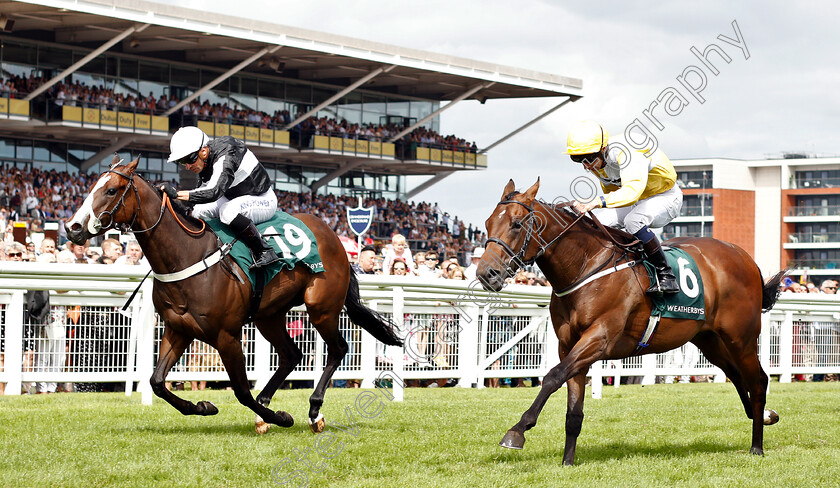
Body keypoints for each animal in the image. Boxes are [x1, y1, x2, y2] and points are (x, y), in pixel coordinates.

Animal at [65, 158, 400, 432]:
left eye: (111, 190)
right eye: (92, 188)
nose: (73, 227)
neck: (186, 255)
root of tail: (332, 233)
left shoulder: (227, 335)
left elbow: (240, 391)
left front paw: (280, 417)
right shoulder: (178, 328)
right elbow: (157, 382)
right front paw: (203, 406)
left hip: (322, 307)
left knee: (338, 348)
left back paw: (313, 410)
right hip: (268, 315)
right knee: (292, 354)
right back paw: (267, 403)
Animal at [476, 179, 784, 466]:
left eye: (516, 224)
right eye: (488, 223)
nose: (486, 274)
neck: (587, 265)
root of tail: (746, 258)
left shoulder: (599, 338)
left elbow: (552, 376)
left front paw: (517, 431)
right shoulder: (569, 345)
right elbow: (573, 409)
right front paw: (567, 462)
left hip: (741, 337)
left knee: (757, 380)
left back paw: (757, 446)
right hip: (709, 340)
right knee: (736, 374)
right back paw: (764, 416)